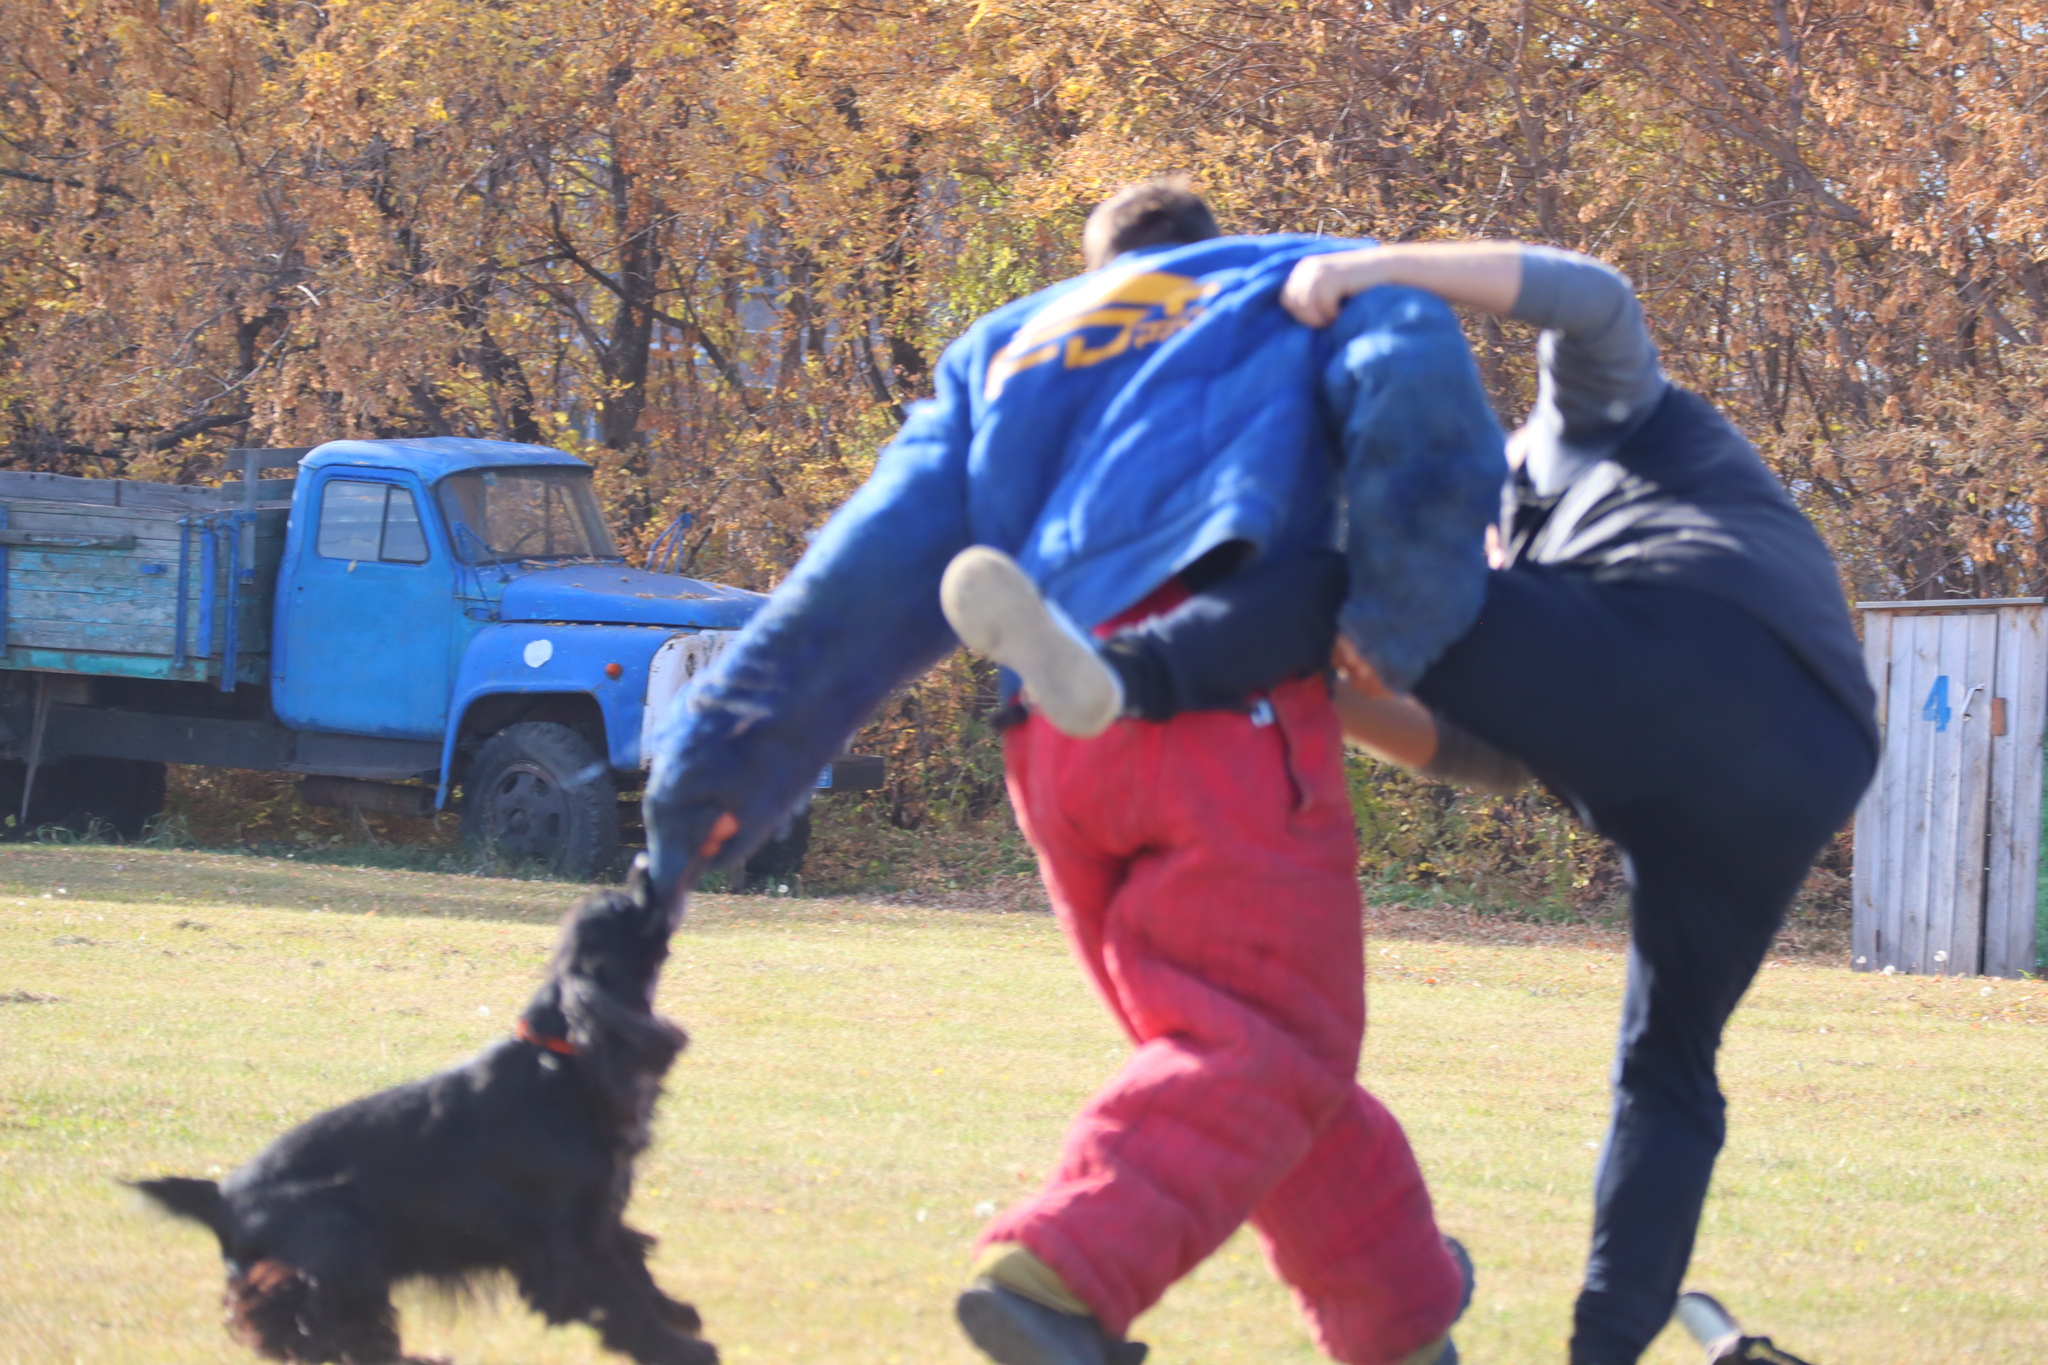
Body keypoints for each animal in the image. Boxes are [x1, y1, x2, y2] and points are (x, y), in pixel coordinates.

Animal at [134, 879, 712, 1358]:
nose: (646, 871)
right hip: (339, 1239)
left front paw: (677, 1314)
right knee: (317, 1329)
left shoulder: (599, 1218)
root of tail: (220, 1196)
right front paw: (680, 1349)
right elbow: (617, 1296)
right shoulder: (566, 1235)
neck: (564, 1061)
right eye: (625, 909)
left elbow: (635, 1274)